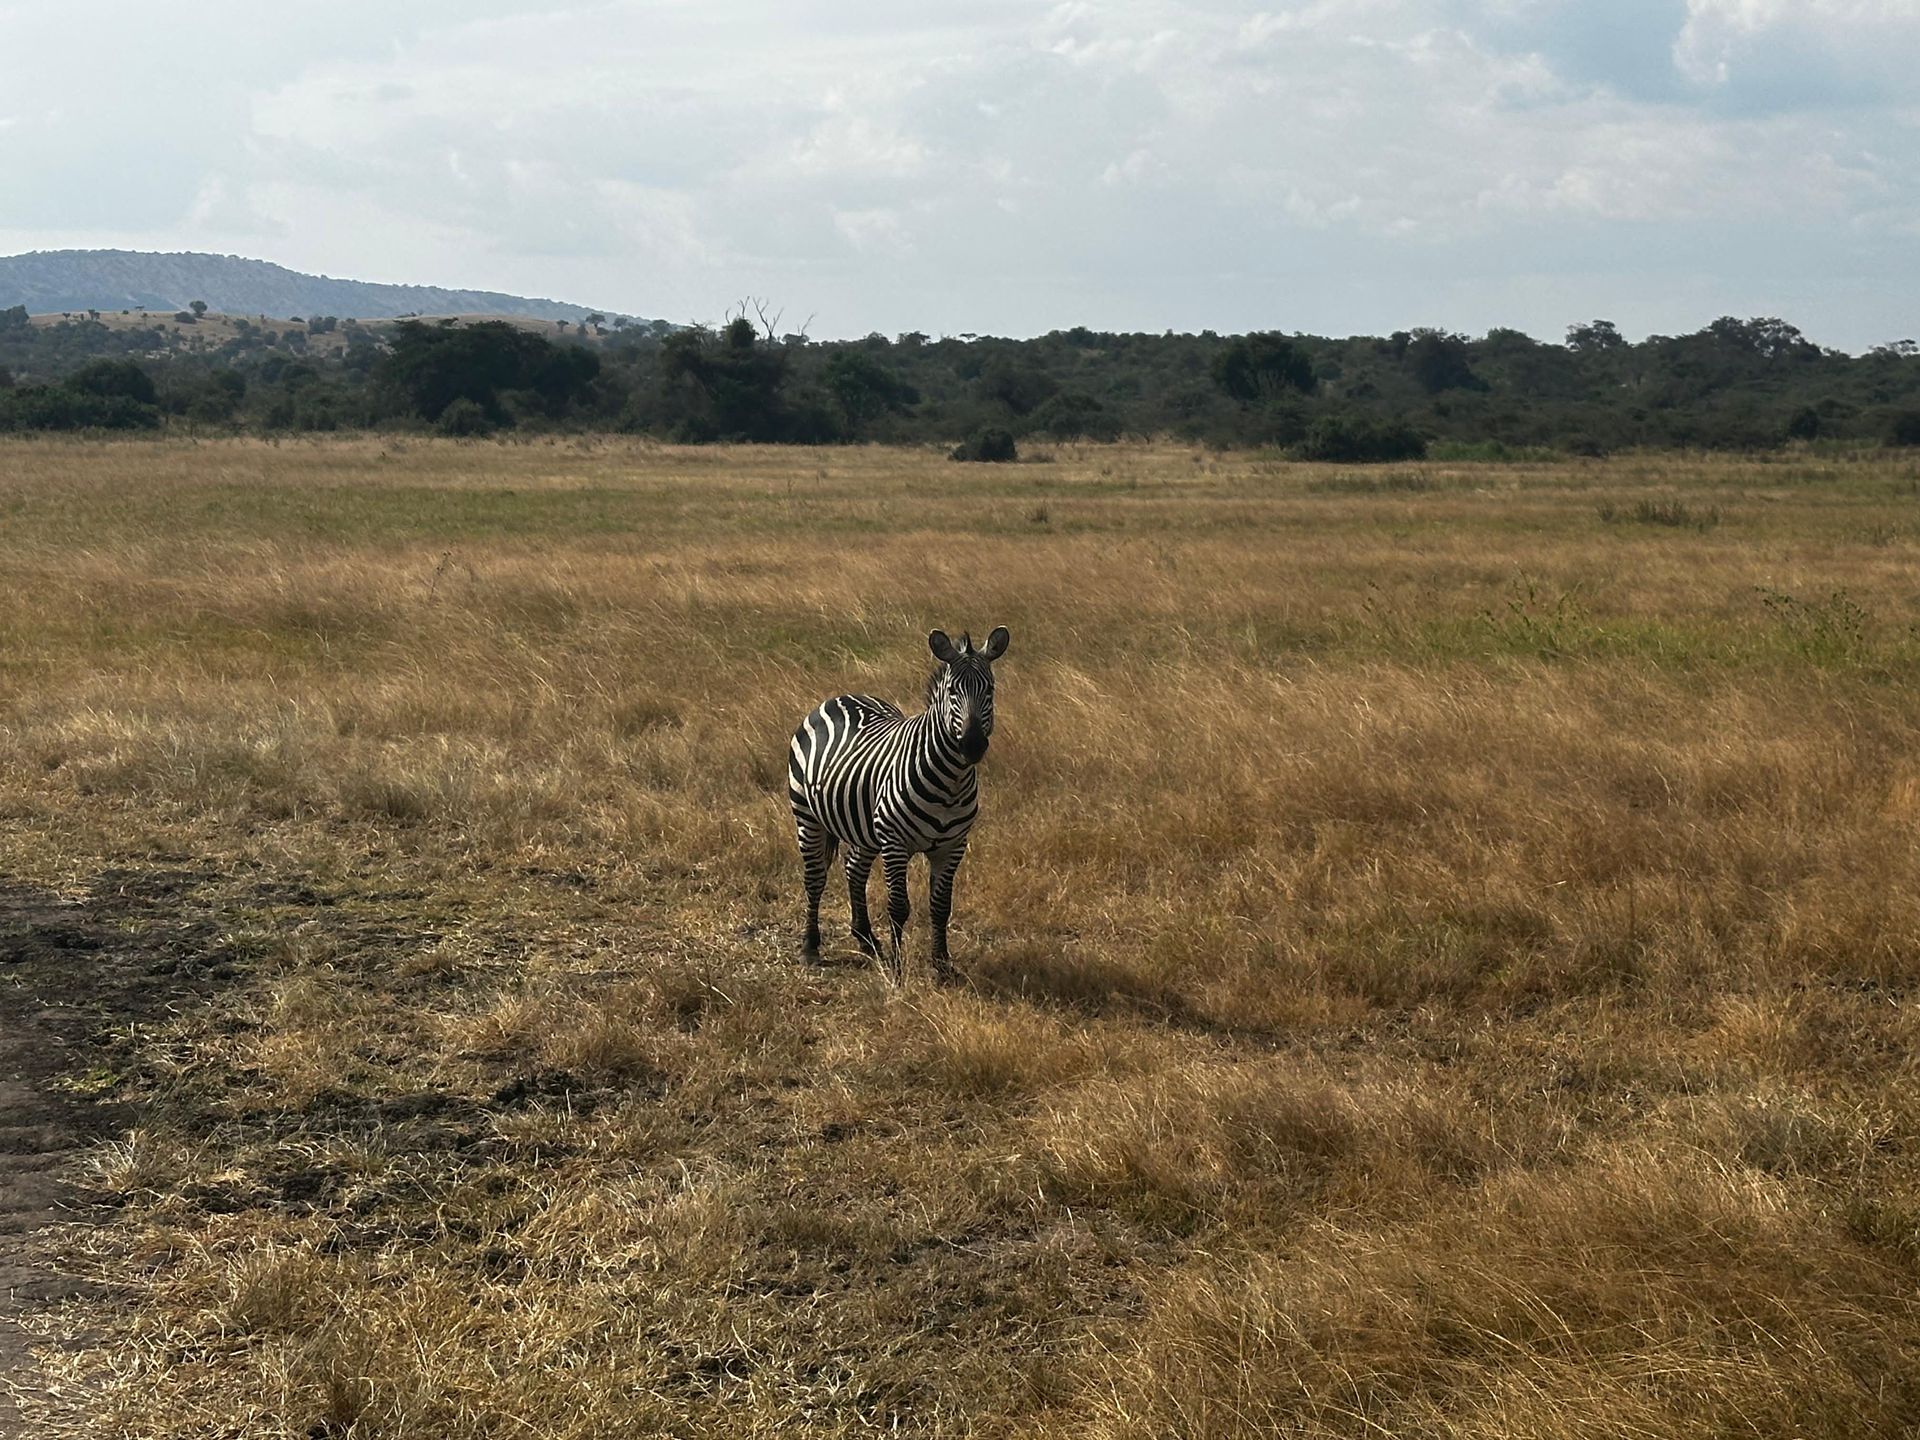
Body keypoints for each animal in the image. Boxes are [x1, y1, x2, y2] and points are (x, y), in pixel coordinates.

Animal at [787, 626, 1011, 983]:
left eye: (989, 689)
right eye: (952, 691)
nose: (973, 745)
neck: (951, 782)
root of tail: (840, 697)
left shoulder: (952, 846)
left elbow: (941, 907)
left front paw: (941, 965)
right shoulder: (895, 843)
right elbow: (898, 906)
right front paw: (896, 969)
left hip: (863, 826)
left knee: (853, 869)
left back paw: (866, 939)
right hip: (807, 816)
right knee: (815, 878)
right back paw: (810, 947)